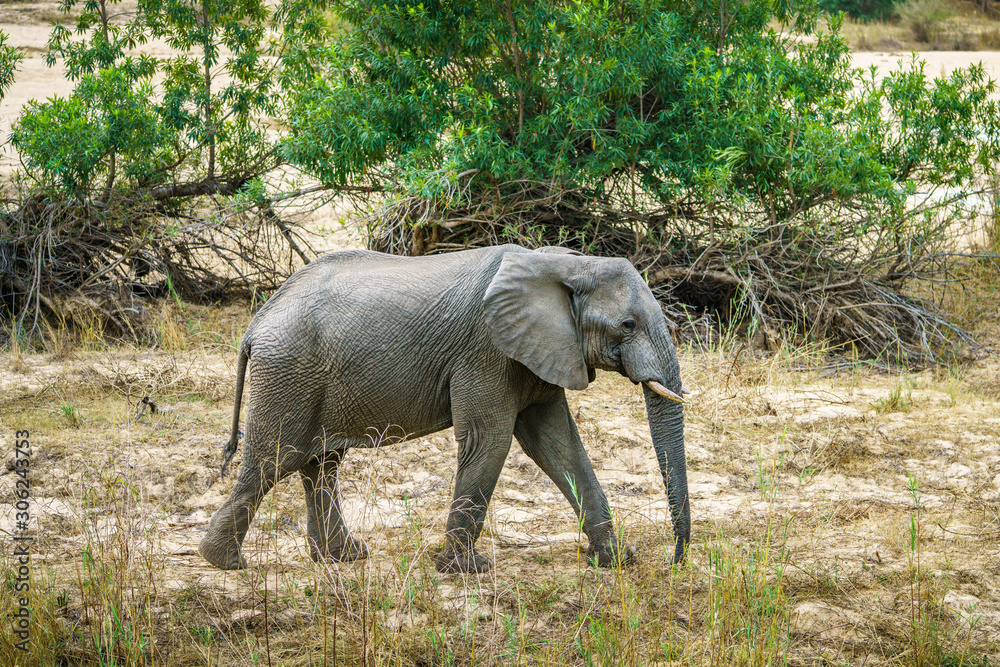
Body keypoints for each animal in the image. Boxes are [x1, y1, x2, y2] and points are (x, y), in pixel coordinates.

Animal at [199, 245, 692, 576]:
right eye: (628, 325)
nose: (676, 560)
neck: (566, 264)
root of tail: (256, 323)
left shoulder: (541, 351)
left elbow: (557, 445)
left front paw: (616, 561)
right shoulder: (487, 351)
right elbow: (490, 439)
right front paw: (468, 569)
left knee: (320, 463)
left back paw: (345, 557)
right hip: (290, 374)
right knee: (274, 461)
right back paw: (225, 563)